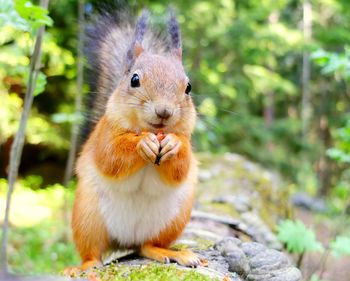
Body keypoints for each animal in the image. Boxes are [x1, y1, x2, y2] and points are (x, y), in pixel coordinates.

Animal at [65, 7, 202, 272]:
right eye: (134, 79)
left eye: (188, 87)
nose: (164, 111)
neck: (149, 130)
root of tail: (125, 241)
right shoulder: (105, 134)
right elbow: (110, 157)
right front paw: (142, 144)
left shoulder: (186, 141)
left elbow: (181, 167)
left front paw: (174, 145)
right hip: (88, 217)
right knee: (92, 251)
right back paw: (84, 266)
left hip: (173, 219)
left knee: (147, 245)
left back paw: (169, 253)